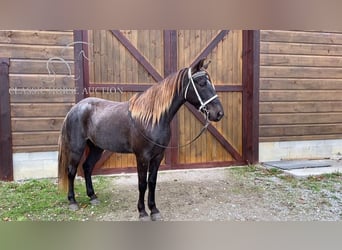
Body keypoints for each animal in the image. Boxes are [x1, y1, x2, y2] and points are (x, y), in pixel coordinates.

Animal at [58, 58, 224, 221]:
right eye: (201, 83)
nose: (219, 113)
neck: (152, 119)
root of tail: (75, 108)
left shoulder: (158, 156)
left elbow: (152, 182)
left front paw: (154, 210)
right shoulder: (142, 157)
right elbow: (142, 183)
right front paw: (142, 212)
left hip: (96, 148)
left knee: (87, 167)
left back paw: (93, 197)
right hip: (77, 148)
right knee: (71, 171)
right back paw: (72, 202)